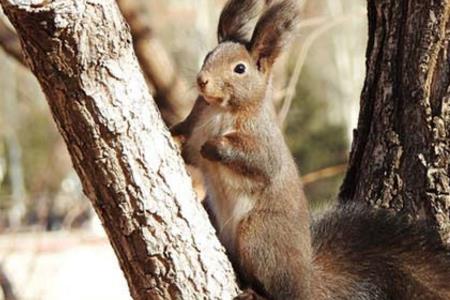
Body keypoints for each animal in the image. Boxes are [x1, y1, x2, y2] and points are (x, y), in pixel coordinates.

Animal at [170, 1, 450, 298]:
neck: (220, 110)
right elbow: (186, 142)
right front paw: (174, 137)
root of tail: (306, 279)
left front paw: (214, 146)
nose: (202, 80)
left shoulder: (263, 140)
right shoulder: (195, 124)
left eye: (240, 69)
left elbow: (258, 162)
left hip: (259, 238)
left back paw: (256, 292)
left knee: (277, 287)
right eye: (208, 55)